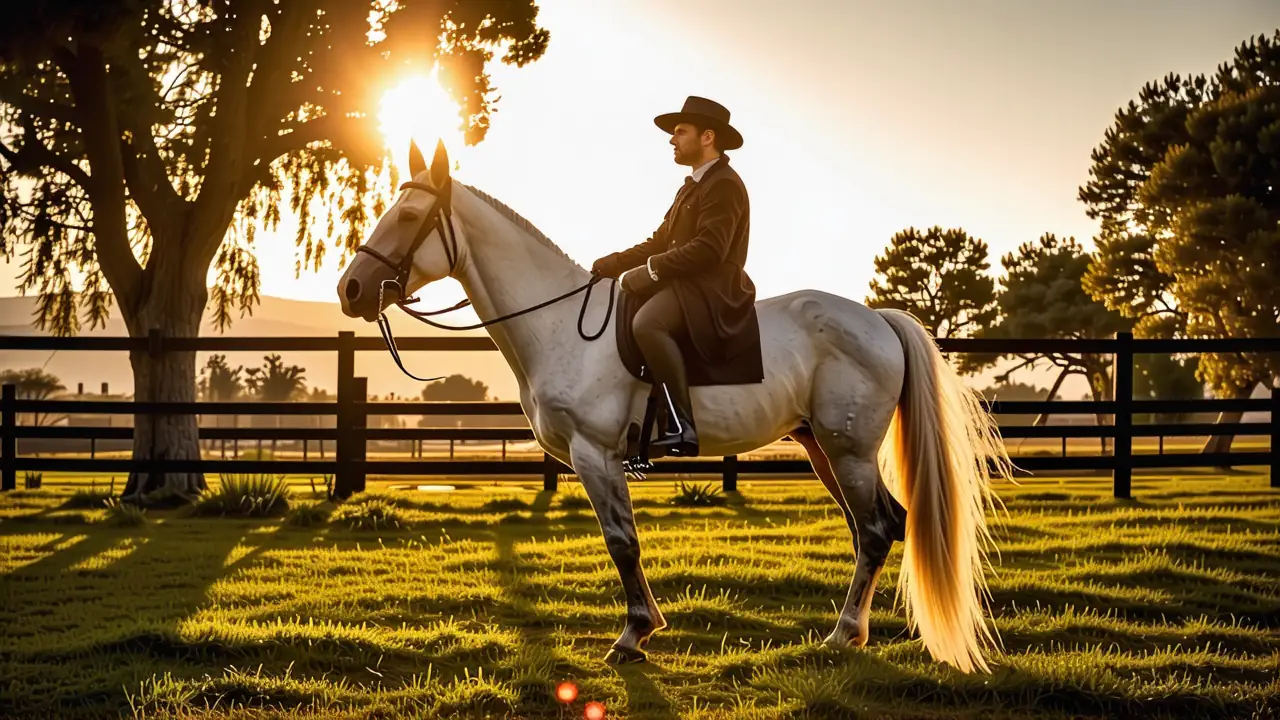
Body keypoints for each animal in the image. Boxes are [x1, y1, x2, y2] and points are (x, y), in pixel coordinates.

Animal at [337, 140, 1014, 673]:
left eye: (411, 215)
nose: (350, 290)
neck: (558, 326)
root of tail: (877, 319)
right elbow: (625, 541)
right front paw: (644, 628)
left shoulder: (595, 454)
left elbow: (622, 543)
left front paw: (633, 635)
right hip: (824, 448)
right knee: (876, 526)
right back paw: (855, 632)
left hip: (847, 450)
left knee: (874, 529)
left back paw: (842, 635)